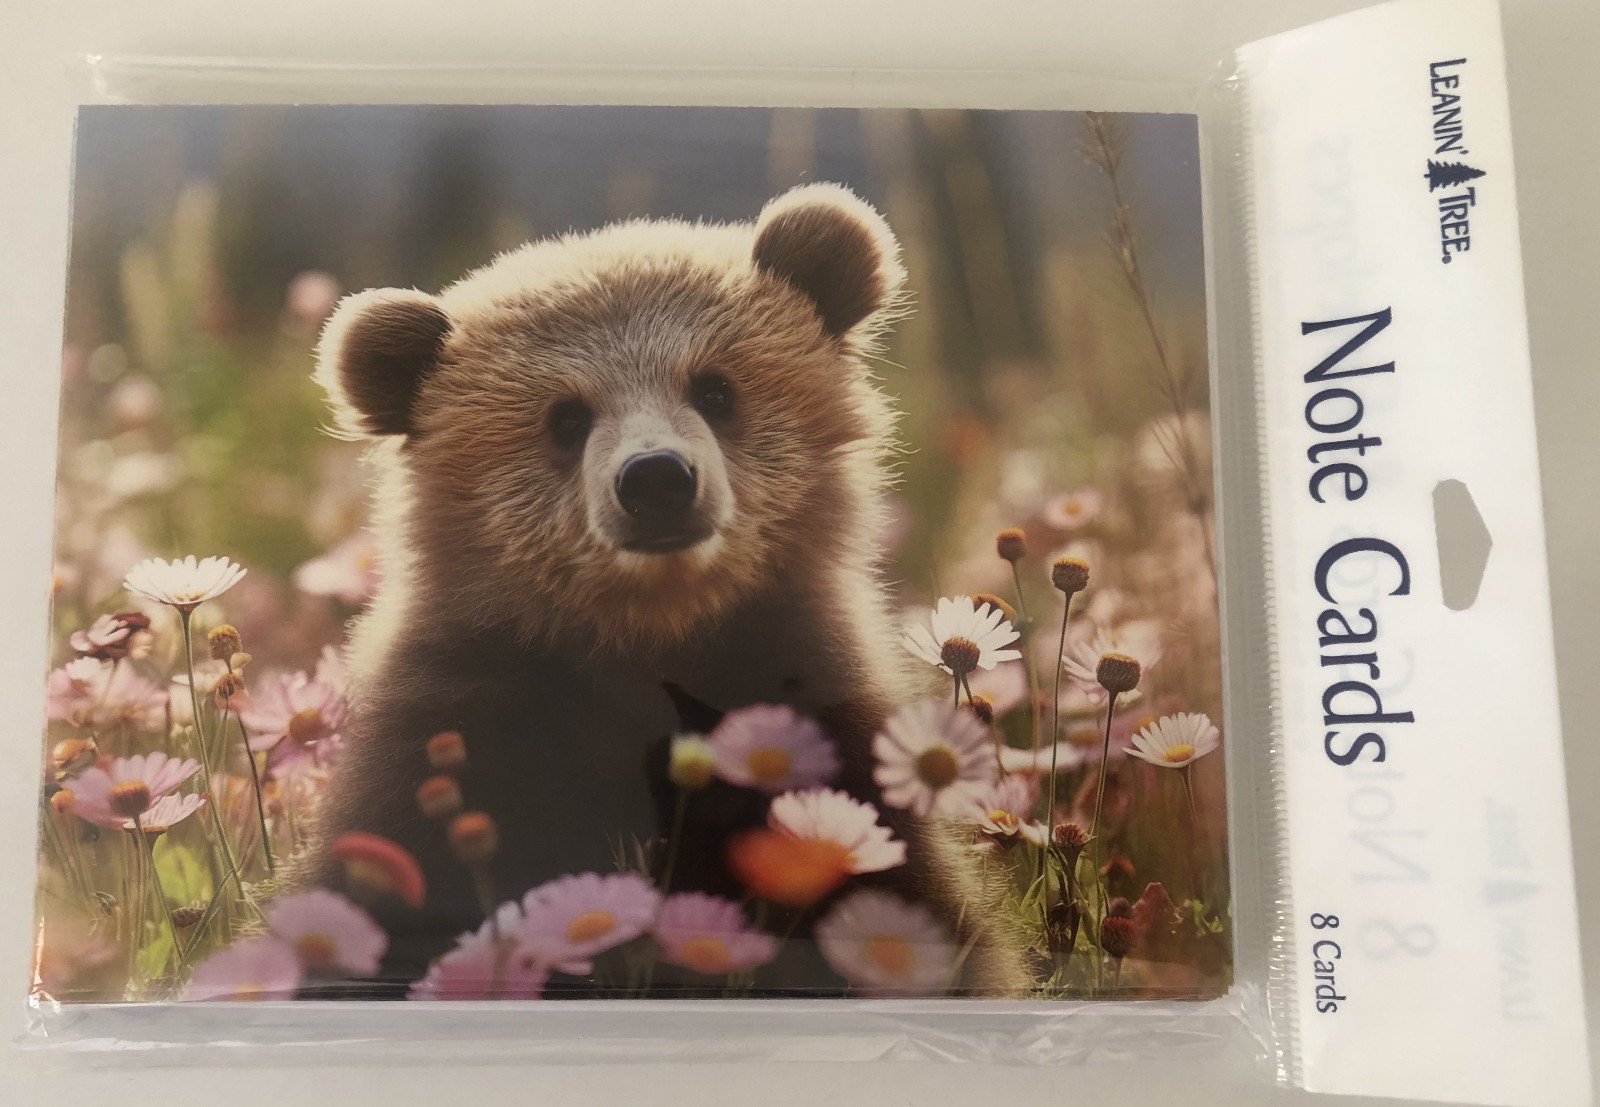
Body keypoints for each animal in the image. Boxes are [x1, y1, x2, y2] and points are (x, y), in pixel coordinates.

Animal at [301, 182, 1030, 998]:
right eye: (565, 415)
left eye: (715, 386)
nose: (656, 478)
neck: (649, 641)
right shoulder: (461, 739)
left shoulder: (819, 734)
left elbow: (916, 926)